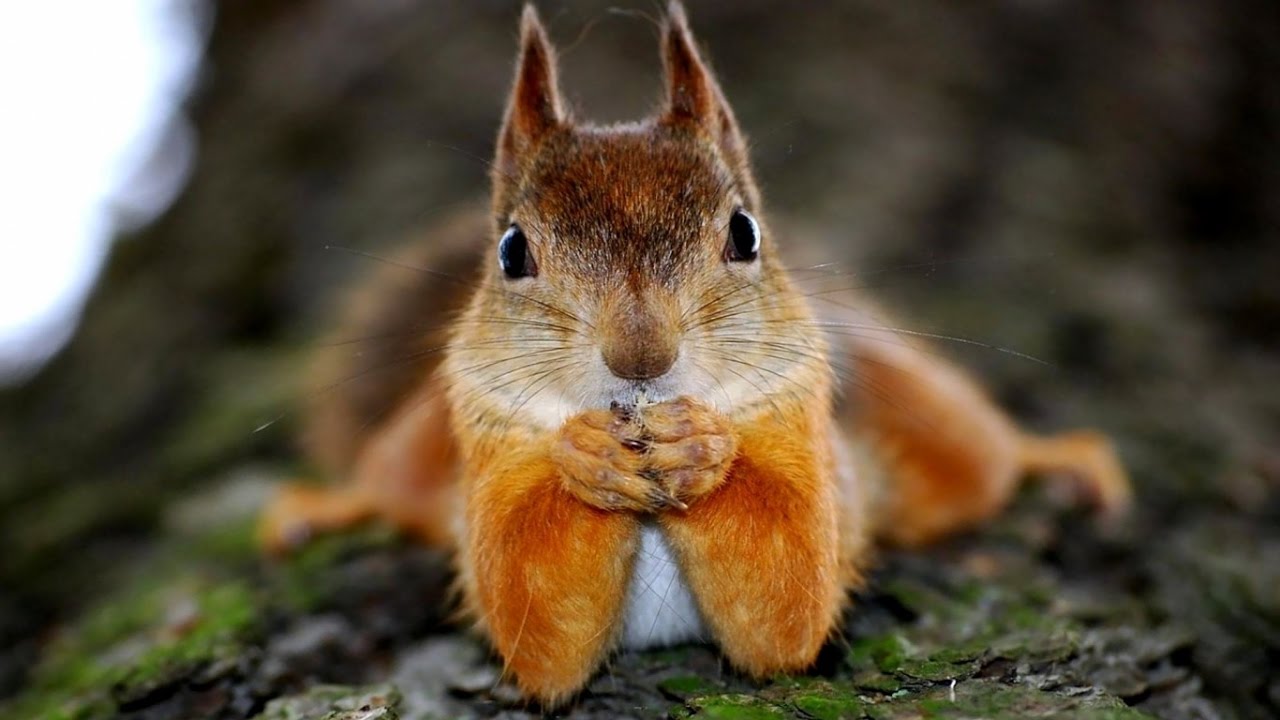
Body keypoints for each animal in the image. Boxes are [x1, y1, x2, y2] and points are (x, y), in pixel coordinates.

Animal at [257, 1, 1131, 707]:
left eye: (744, 233)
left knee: (983, 459)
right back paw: (322, 507)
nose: (640, 355)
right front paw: (585, 456)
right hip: (418, 446)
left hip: (917, 412)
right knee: (388, 485)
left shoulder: (807, 434)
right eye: (510, 251)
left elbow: (790, 595)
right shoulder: (487, 441)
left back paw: (1059, 457)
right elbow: (533, 618)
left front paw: (701, 449)